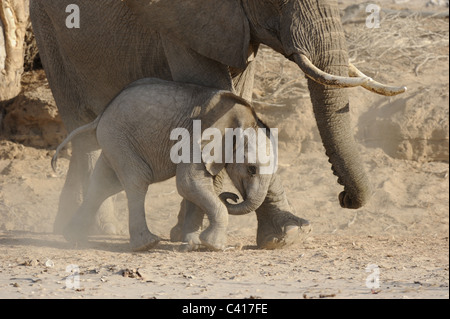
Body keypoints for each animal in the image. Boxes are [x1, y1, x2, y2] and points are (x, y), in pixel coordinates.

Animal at [51, 78, 306, 252]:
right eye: (251, 169)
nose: (232, 197)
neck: (242, 118)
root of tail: (100, 116)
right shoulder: (196, 137)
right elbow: (189, 183)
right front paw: (214, 246)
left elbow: (198, 187)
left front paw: (192, 246)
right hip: (119, 137)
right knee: (137, 181)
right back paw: (146, 244)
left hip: (114, 140)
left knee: (105, 184)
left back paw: (73, 236)